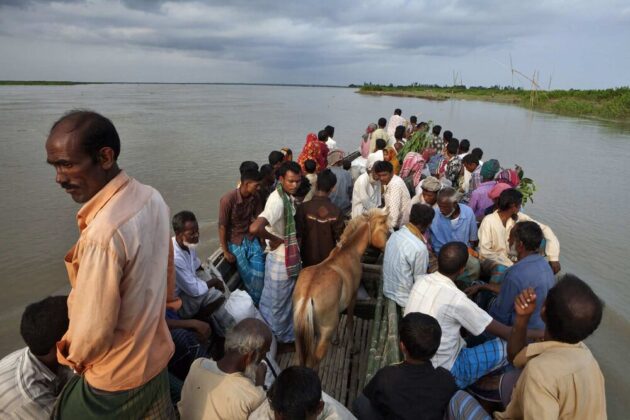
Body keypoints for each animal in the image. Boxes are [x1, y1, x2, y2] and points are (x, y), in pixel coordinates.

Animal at [296, 208, 390, 370]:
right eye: (386, 229)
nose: (388, 247)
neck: (348, 251)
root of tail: (308, 296)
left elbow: (340, 317)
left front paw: (337, 339)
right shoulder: (352, 297)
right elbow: (350, 322)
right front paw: (352, 347)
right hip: (324, 334)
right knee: (313, 361)